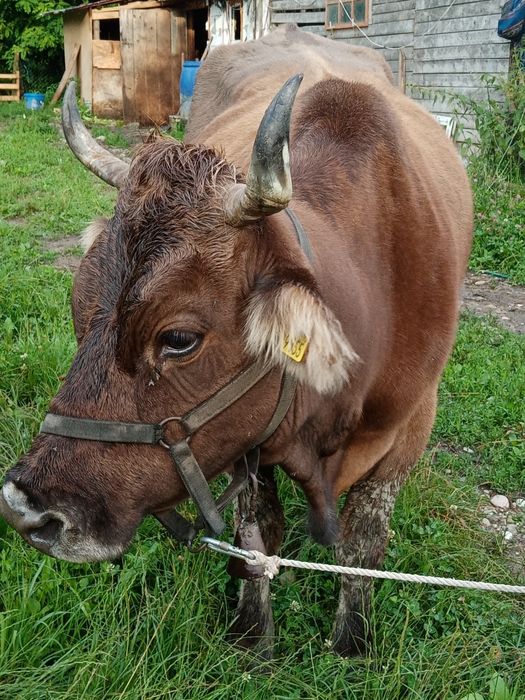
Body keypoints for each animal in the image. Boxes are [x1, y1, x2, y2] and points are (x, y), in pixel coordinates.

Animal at [0, 25, 472, 657]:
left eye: (178, 338)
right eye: (78, 310)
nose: (27, 510)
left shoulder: (411, 424)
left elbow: (363, 544)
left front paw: (352, 641)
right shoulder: (249, 443)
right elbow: (257, 537)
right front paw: (254, 633)